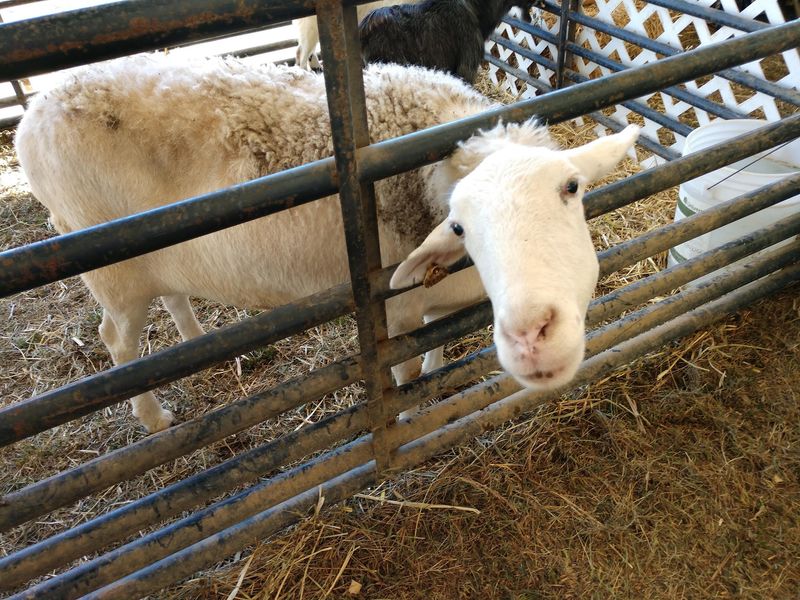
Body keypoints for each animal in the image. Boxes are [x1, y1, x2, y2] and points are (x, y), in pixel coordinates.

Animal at [15, 53, 639, 433]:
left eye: (572, 187)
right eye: (460, 225)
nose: (533, 334)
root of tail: (35, 110)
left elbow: (436, 346)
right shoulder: (396, 310)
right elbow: (406, 375)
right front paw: (409, 413)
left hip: (155, 254)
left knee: (172, 297)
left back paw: (198, 347)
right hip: (112, 271)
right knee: (116, 343)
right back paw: (155, 417)